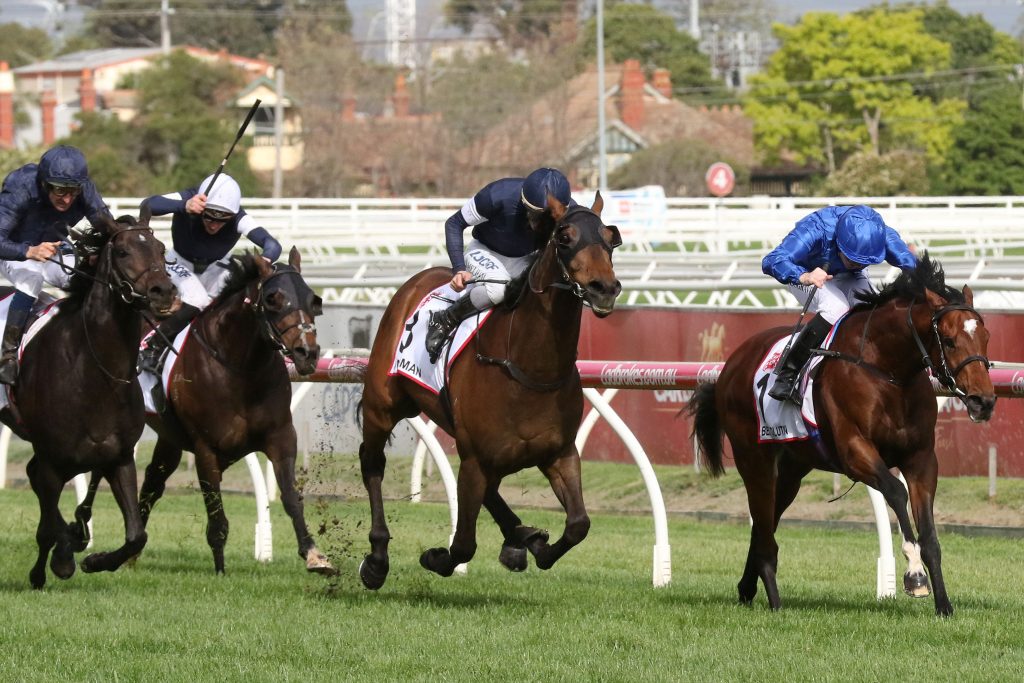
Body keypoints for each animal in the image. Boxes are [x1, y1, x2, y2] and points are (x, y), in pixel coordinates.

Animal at [0, 214, 175, 588]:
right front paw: (58, 560)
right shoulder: (53, 462)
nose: (163, 292)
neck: (96, 373)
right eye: (122, 251)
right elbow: (48, 528)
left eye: (160, 248)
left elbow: (136, 535)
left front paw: (95, 559)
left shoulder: (118, 457)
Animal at [71, 248, 331, 575]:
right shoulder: (206, 448)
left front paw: (314, 554)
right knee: (101, 471)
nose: (307, 353)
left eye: (313, 300)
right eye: (273, 299)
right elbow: (216, 516)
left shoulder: (281, 437)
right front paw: (220, 571)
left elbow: (291, 497)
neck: (241, 368)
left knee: (152, 482)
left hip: (168, 436)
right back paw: (82, 526)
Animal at [357, 193, 622, 589]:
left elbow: (579, 524)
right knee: (372, 463)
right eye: (564, 237)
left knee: (494, 492)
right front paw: (435, 557)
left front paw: (536, 545)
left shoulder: (558, 453)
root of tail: (416, 281)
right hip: (382, 406)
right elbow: (463, 545)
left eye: (609, 237)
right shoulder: (476, 460)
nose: (604, 288)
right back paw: (376, 560)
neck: (528, 367)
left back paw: (521, 537)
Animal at [688, 255, 995, 616]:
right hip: (754, 460)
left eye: (985, 336)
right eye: (948, 340)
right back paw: (774, 600)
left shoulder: (920, 459)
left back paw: (747, 587)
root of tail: (731, 365)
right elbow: (896, 493)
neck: (888, 371)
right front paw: (915, 576)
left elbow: (930, 534)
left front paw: (944, 606)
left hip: (792, 470)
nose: (983, 401)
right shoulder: (855, 451)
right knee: (763, 525)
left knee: (766, 524)